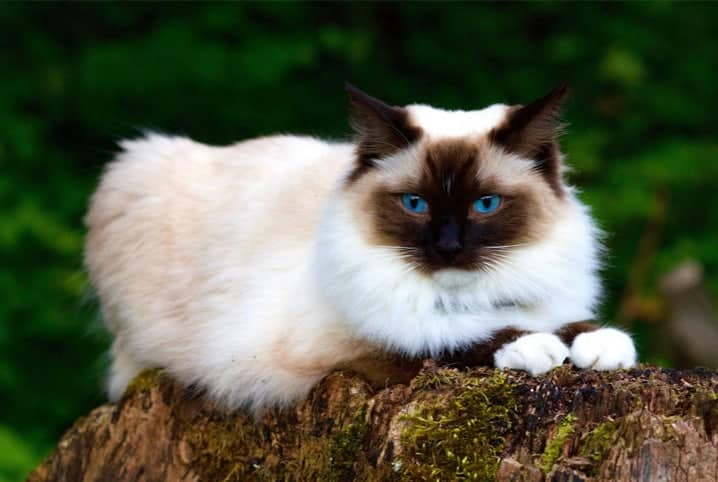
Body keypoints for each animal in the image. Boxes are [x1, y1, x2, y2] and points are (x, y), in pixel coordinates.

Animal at [81, 81, 640, 412]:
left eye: (485, 204)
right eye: (415, 203)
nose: (448, 247)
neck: (463, 294)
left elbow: (562, 320)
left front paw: (601, 346)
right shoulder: (335, 349)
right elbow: (444, 340)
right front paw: (534, 347)